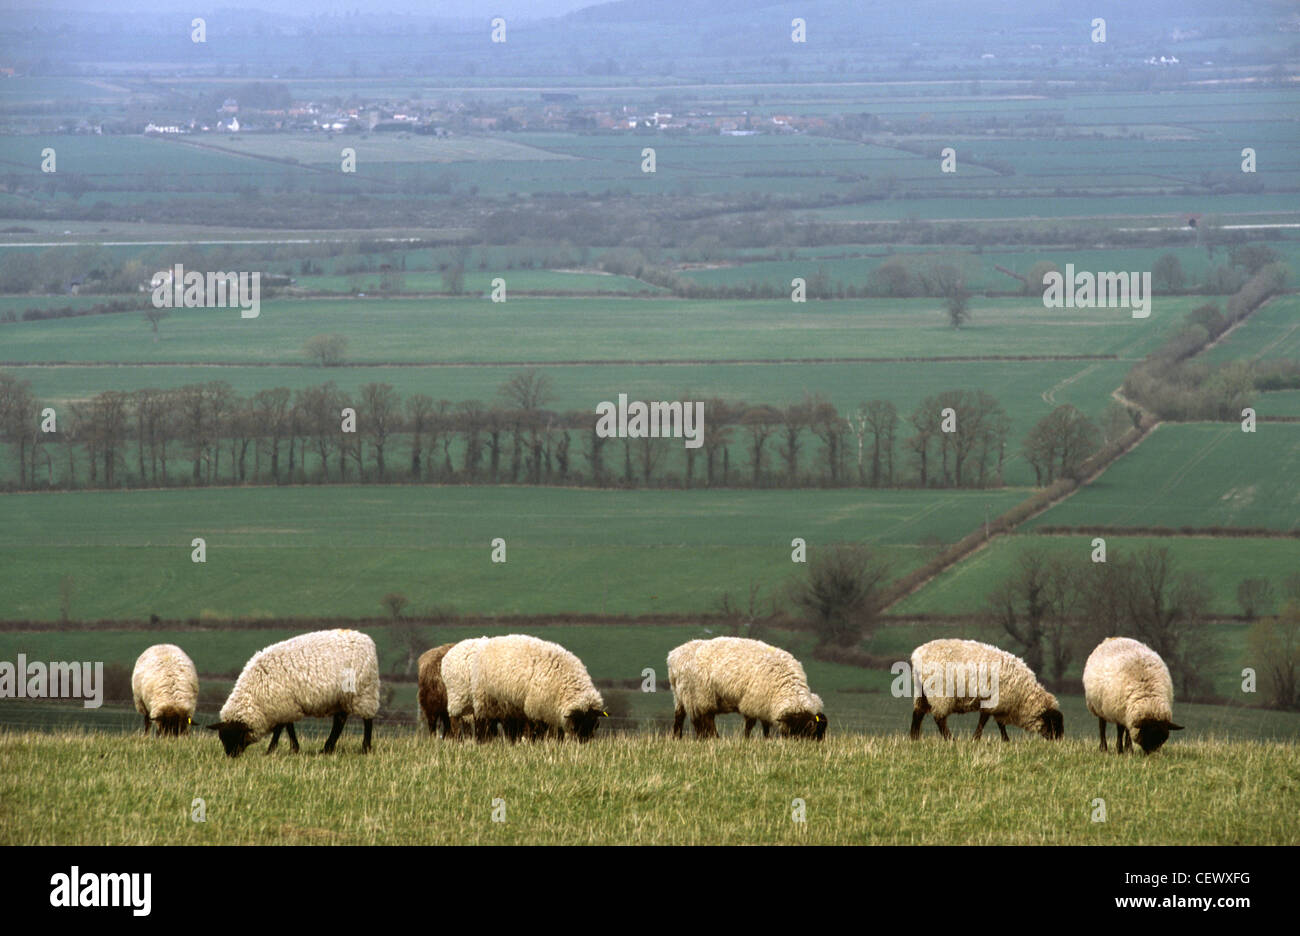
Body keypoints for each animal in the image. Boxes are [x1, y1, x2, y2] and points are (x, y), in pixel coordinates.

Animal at [208, 624, 379, 759]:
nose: (231, 756)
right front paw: (287, 749)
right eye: (222, 738)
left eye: (235, 735)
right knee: (340, 721)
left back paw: (365, 748)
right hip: (341, 697)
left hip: (364, 691)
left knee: (367, 720)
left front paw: (276, 750)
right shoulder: (284, 705)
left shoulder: (283, 704)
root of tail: (366, 640)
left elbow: (281, 729)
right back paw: (327, 749)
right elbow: (286, 727)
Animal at [470, 631, 605, 743]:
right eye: (577, 724)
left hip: (509, 706)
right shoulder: (536, 709)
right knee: (483, 723)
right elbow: (538, 731)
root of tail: (489, 641)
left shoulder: (552, 712)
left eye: (595, 724)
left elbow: (557, 733)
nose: (584, 742)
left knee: (510, 726)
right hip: (485, 700)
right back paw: (484, 741)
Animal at [665, 637, 826, 738]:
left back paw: (680, 738)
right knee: (705, 719)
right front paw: (746, 739)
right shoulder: (753, 701)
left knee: (683, 717)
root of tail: (674, 655)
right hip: (700, 695)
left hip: (683, 696)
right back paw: (713, 738)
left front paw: (767, 739)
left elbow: (765, 725)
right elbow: (750, 725)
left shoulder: (764, 704)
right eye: (795, 732)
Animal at [904, 639, 1066, 743]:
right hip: (940, 693)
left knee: (918, 713)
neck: (1023, 696)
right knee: (939, 719)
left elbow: (999, 723)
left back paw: (914, 738)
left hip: (921, 691)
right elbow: (985, 721)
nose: (1059, 742)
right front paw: (976, 739)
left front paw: (1006, 740)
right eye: (1053, 723)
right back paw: (950, 740)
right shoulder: (993, 701)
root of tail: (917, 654)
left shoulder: (1000, 705)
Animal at [1081, 631, 1185, 759]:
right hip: (1098, 706)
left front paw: (1129, 750)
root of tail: (1112, 638)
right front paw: (1120, 750)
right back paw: (1103, 748)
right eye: (1147, 734)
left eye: (1162, 738)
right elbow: (1121, 731)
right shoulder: (1120, 712)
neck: (1148, 695)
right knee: (1102, 727)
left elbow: (1128, 732)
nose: (1152, 756)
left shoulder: (1128, 713)